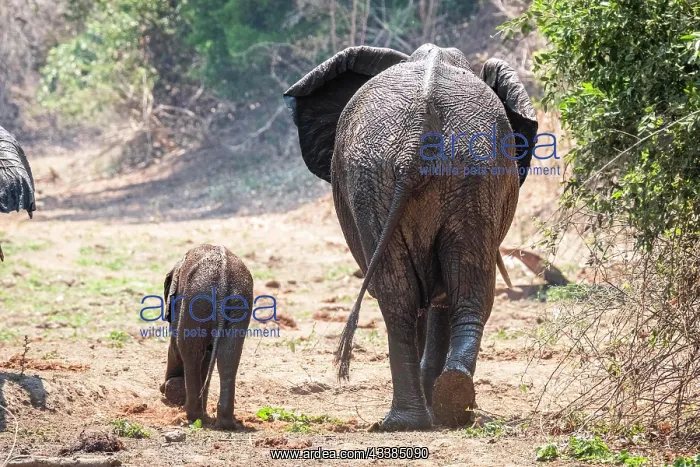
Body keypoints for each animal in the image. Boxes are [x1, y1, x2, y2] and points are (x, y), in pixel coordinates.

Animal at [159, 244, 253, 429]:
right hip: (238, 303)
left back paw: (192, 415)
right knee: (228, 355)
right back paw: (224, 423)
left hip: (196, 299)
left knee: (189, 350)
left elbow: (176, 344)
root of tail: (224, 279)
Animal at [284, 44, 537, 431]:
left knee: (409, 294)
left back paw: (413, 418)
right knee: (456, 290)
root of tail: (419, 133)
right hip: (441, 176)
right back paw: (444, 407)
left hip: (427, 178)